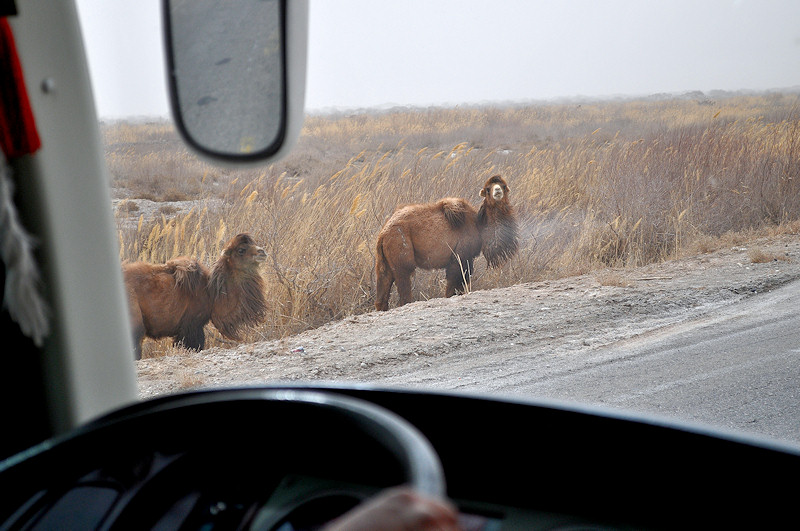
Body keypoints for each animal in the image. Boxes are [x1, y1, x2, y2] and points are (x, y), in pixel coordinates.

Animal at [376, 175, 520, 312]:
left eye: (503, 186)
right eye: (488, 189)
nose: (497, 191)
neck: (478, 225)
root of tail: (383, 233)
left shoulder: (466, 260)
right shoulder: (459, 257)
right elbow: (452, 287)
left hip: (385, 261)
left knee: (383, 286)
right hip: (400, 248)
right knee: (404, 284)